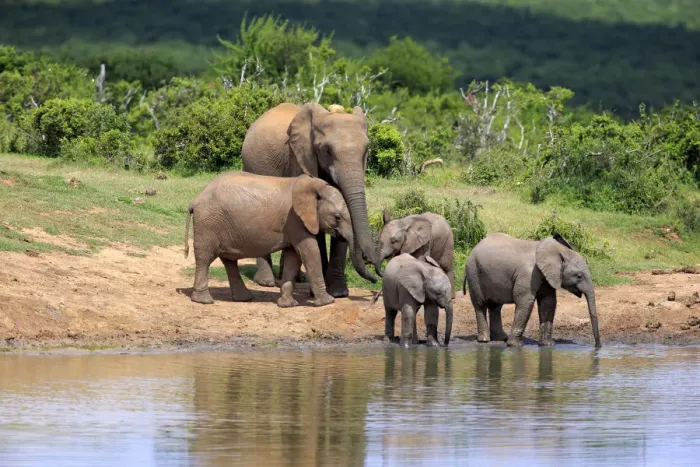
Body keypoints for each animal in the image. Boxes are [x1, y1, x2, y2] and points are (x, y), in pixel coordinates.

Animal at [183, 172, 365, 308]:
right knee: (205, 258)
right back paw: (204, 301)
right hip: (208, 223)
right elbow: (310, 252)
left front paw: (287, 305)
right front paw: (327, 302)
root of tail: (194, 200)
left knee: (229, 261)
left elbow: (294, 256)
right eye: (337, 217)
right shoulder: (295, 220)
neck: (314, 185)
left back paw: (244, 299)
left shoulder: (293, 225)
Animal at [241, 102, 378, 298]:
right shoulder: (299, 158)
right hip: (252, 166)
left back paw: (297, 279)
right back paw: (266, 282)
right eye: (326, 150)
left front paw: (338, 292)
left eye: (366, 150)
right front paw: (320, 291)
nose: (375, 277)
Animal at [463, 232, 601, 348]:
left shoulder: (547, 276)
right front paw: (515, 345)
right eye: (579, 276)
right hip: (473, 272)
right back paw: (484, 340)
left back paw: (501, 338)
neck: (557, 251)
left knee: (495, 306)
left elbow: (548, 303)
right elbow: (525, 302)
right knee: (480, 305)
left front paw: (548, 345)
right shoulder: (528, 275)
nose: (597, 346)